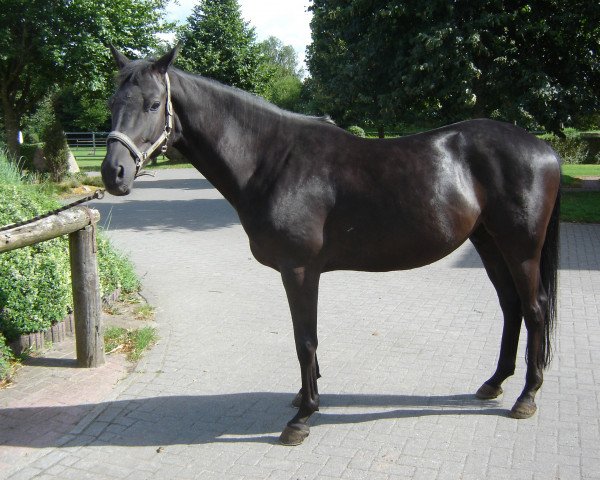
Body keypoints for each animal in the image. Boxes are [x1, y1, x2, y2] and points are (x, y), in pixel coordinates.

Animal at [101, 47, 560, 448]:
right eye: (113, 102)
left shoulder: (299, 269)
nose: (113, 173)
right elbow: (308, 339)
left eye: (154, 103)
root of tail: (544, 150)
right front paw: (306, 397)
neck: (273, 161)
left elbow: (305, 338)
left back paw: (526, 397)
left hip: (520, 248)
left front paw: (302, 417)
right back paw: (494, 383)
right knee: (511, 307)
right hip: (488, 242)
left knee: (534, 308)